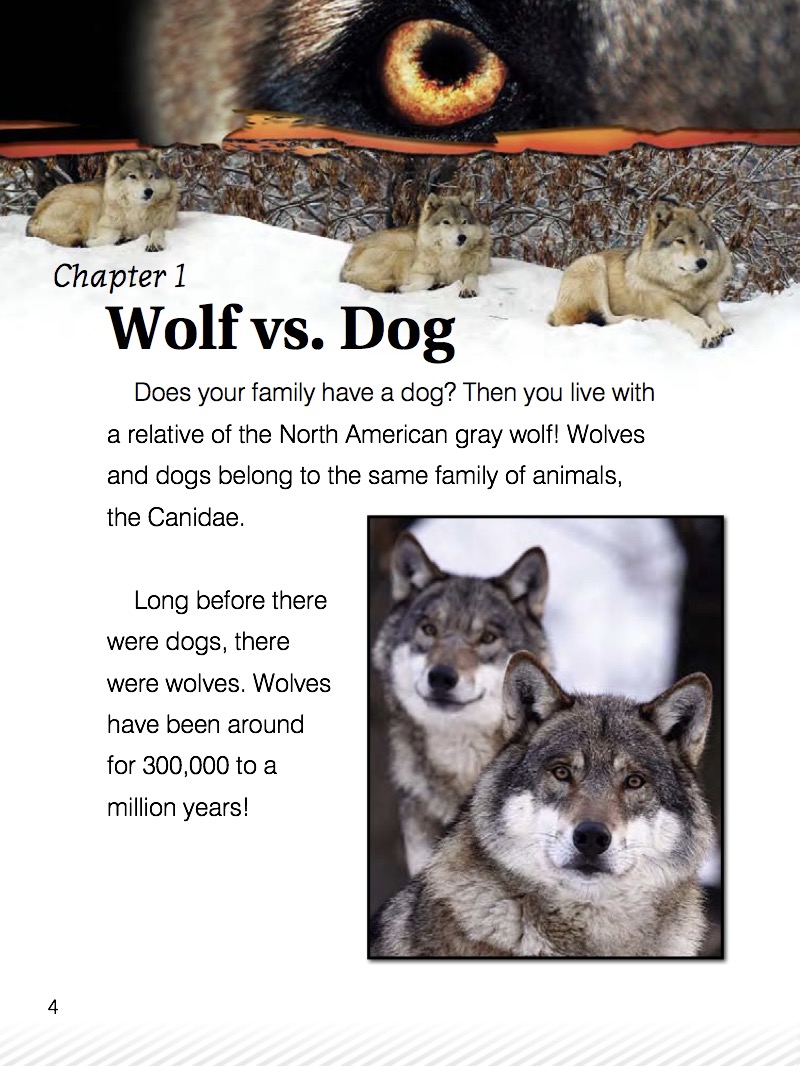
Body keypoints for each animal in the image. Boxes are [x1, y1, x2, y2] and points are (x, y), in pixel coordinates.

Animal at [26, 152, 179, 252]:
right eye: (132, 176)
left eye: (151, 176)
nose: (149, 191)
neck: (137, 212)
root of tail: (32, 220)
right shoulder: (102, 226)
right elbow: (112, 234)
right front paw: (91, 243)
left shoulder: (168, 224)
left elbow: (157, 229)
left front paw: (155, 243)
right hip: (91, 197)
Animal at [341, 194, 491, 298]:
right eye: (446, 222)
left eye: (464, 221)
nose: (462, 237)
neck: (451, 257)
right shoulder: (413, 273)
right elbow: (426, 279)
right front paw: (402, 289)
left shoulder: (480, 271)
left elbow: (471, 275)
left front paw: (468, 289)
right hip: (405, 243)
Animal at [548, 201, 733, 348]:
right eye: (680, 241)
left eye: (701, 242)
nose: (702, 262)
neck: (687, 288)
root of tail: (554, 312)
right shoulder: (668, 305)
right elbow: (693, 319)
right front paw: (707, 335)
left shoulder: (708, 303)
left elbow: (715, 314)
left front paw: (722, 327)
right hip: (594, 265)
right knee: (605, 316)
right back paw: (636, 319)